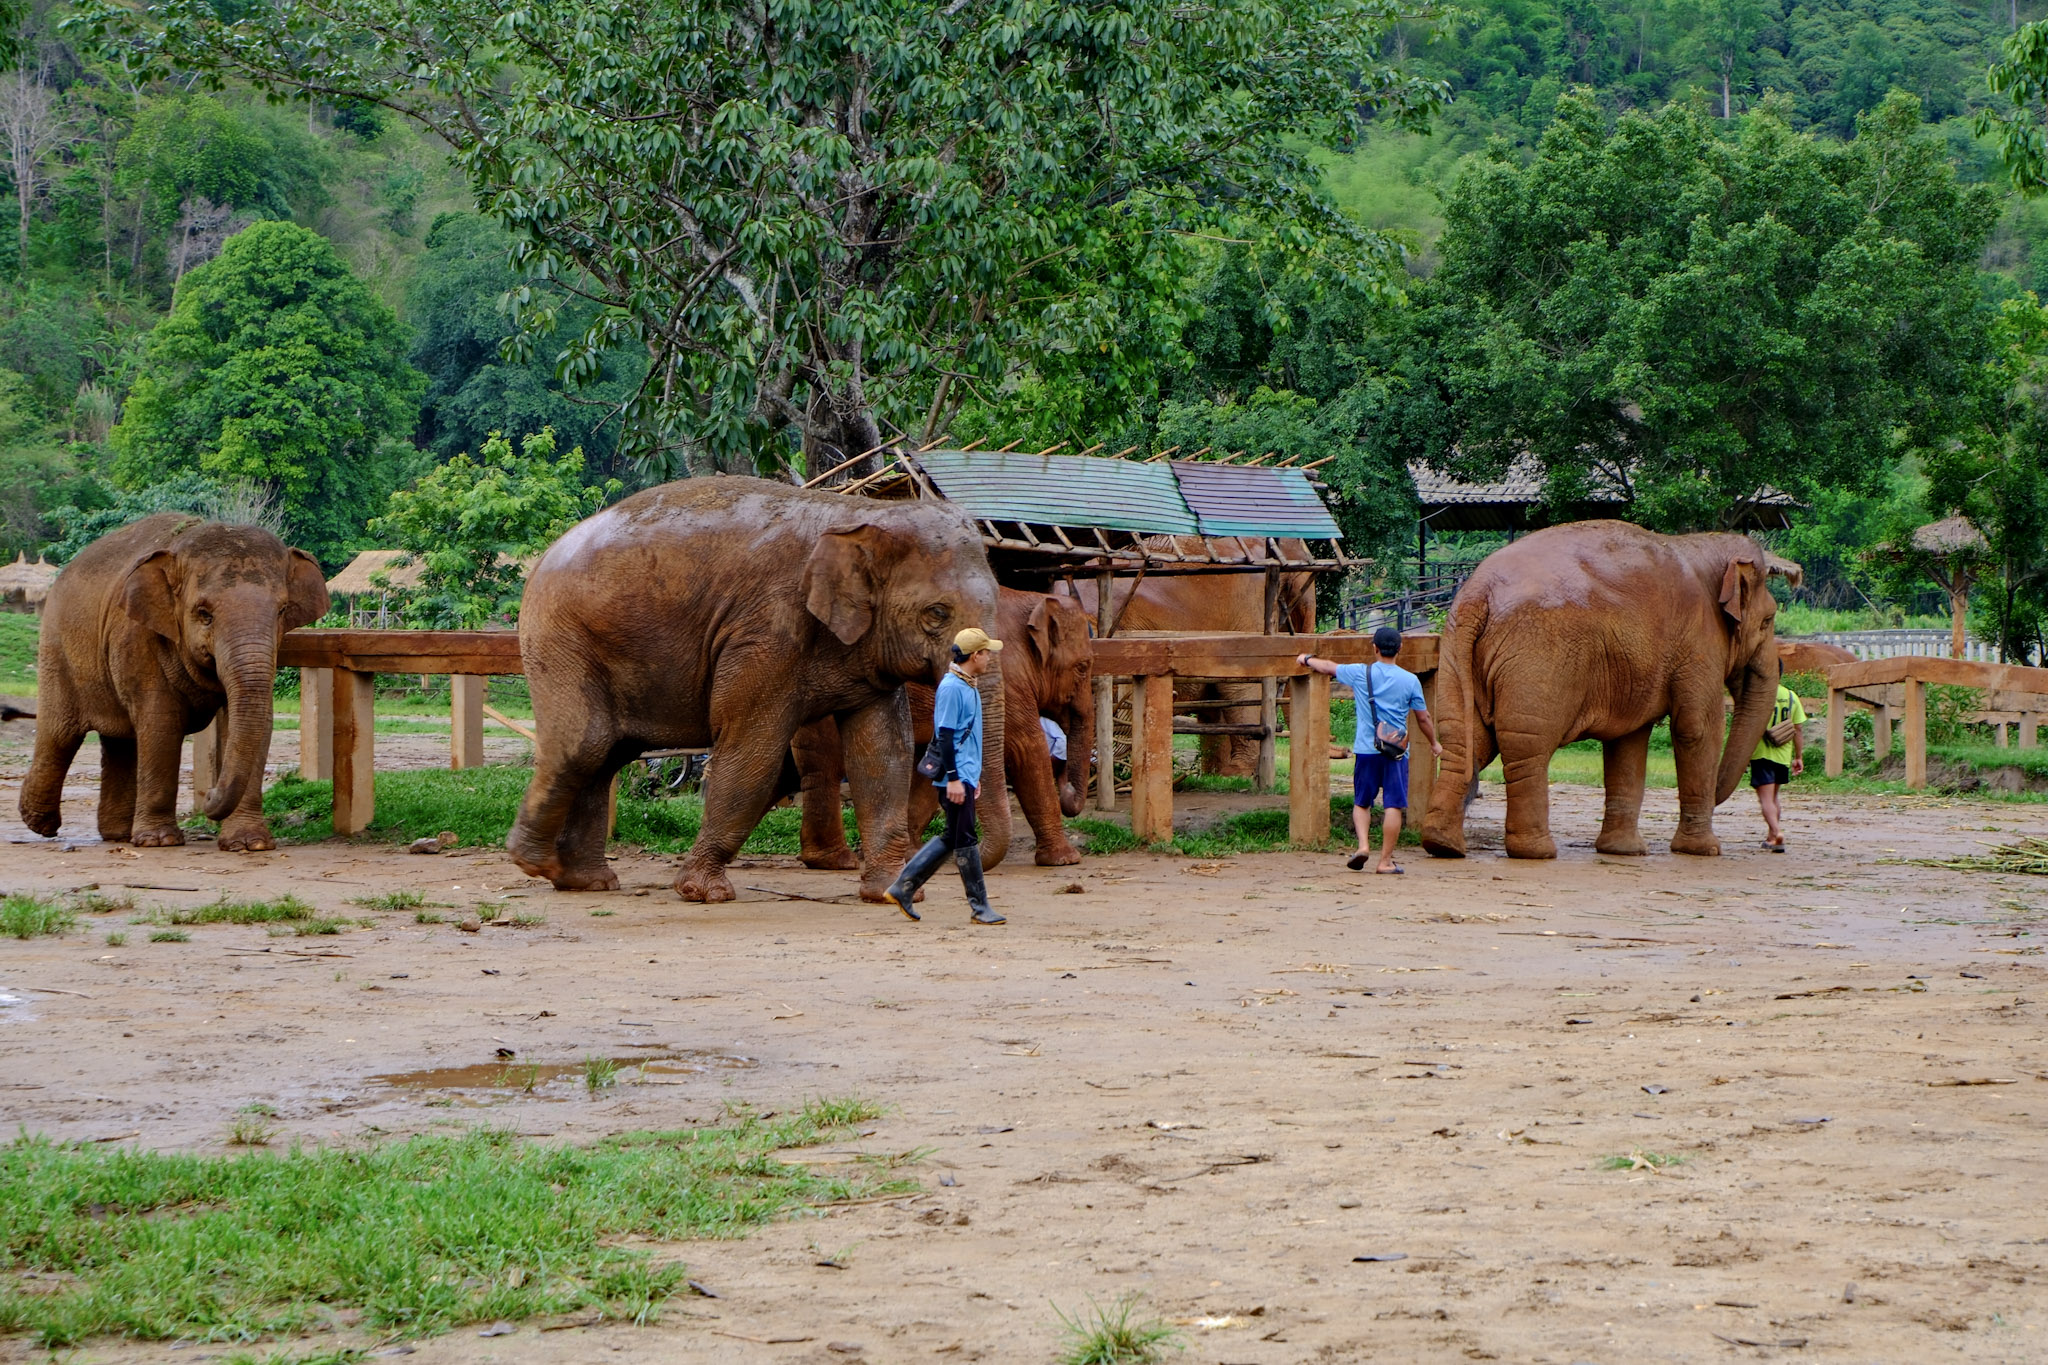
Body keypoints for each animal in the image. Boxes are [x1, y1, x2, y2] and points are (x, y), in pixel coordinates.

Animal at [20, 514, 329, 850]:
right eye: (204, 614)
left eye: (282, 610)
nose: (208, 794)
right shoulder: (137, 636)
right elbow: (161, 722)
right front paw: (159, 841)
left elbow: (255, 722)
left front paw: (251, 844)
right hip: (56, 647)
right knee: (60, 734)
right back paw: (40, 824)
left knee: (119, 740)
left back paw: (117, 834)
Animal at [508, 475, 1001, 904]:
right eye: (936, 613)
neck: (861, 514)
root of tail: (540, 562)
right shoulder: (765, 631)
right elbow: (753, 750)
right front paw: (703, 893)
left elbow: (882, 755)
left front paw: (890, 894)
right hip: (561, 640)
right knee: (586, 746)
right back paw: (536, 864)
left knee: (609, 754)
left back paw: (585, 882)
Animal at [797, 587, 1094, 870]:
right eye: (1083, 667)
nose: (1067, 785)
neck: (1031, 600)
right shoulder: (1009, 681)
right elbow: (1026, 748)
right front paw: (1066, 859)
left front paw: (913, 854)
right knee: (831, 764)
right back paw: (840, 860)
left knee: (818, 765)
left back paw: (830, 860)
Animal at [1419, 521, 1796, 860]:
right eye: (1767, 621)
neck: (1704, 544)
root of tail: (1479, 595)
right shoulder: (1698, 642)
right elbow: (1697, 729)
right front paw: (1704, 851)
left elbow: (1628, 741)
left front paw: (1624, 851)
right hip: (1539, 657)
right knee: (1527, 746)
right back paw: (1537, 852)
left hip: (1456, 653)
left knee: (1464, 740)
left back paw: (1443, 844)